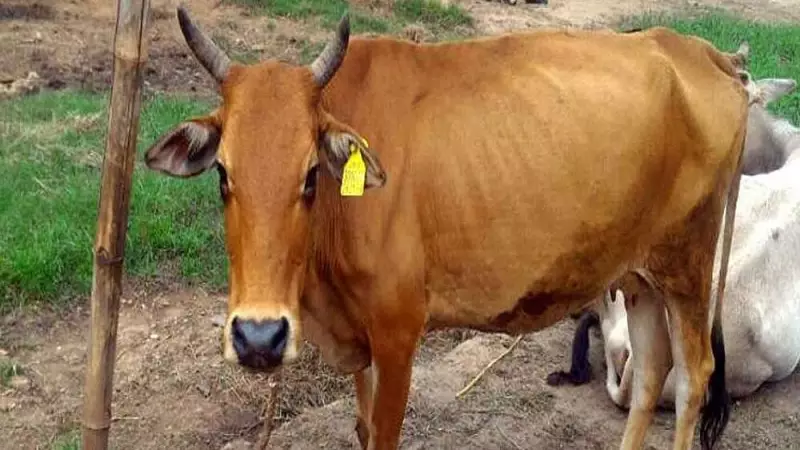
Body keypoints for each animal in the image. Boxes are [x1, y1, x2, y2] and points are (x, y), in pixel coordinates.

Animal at [143, 7, 749, 450]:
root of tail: (701, 52)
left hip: (689, 266)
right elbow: (361, 427)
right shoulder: (361, 339)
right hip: (638, 274)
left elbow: (383, 435)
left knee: (693, 376)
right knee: (649, 374)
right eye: (223, 173)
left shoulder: (397, 334)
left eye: (311, 174)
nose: (258, 338)